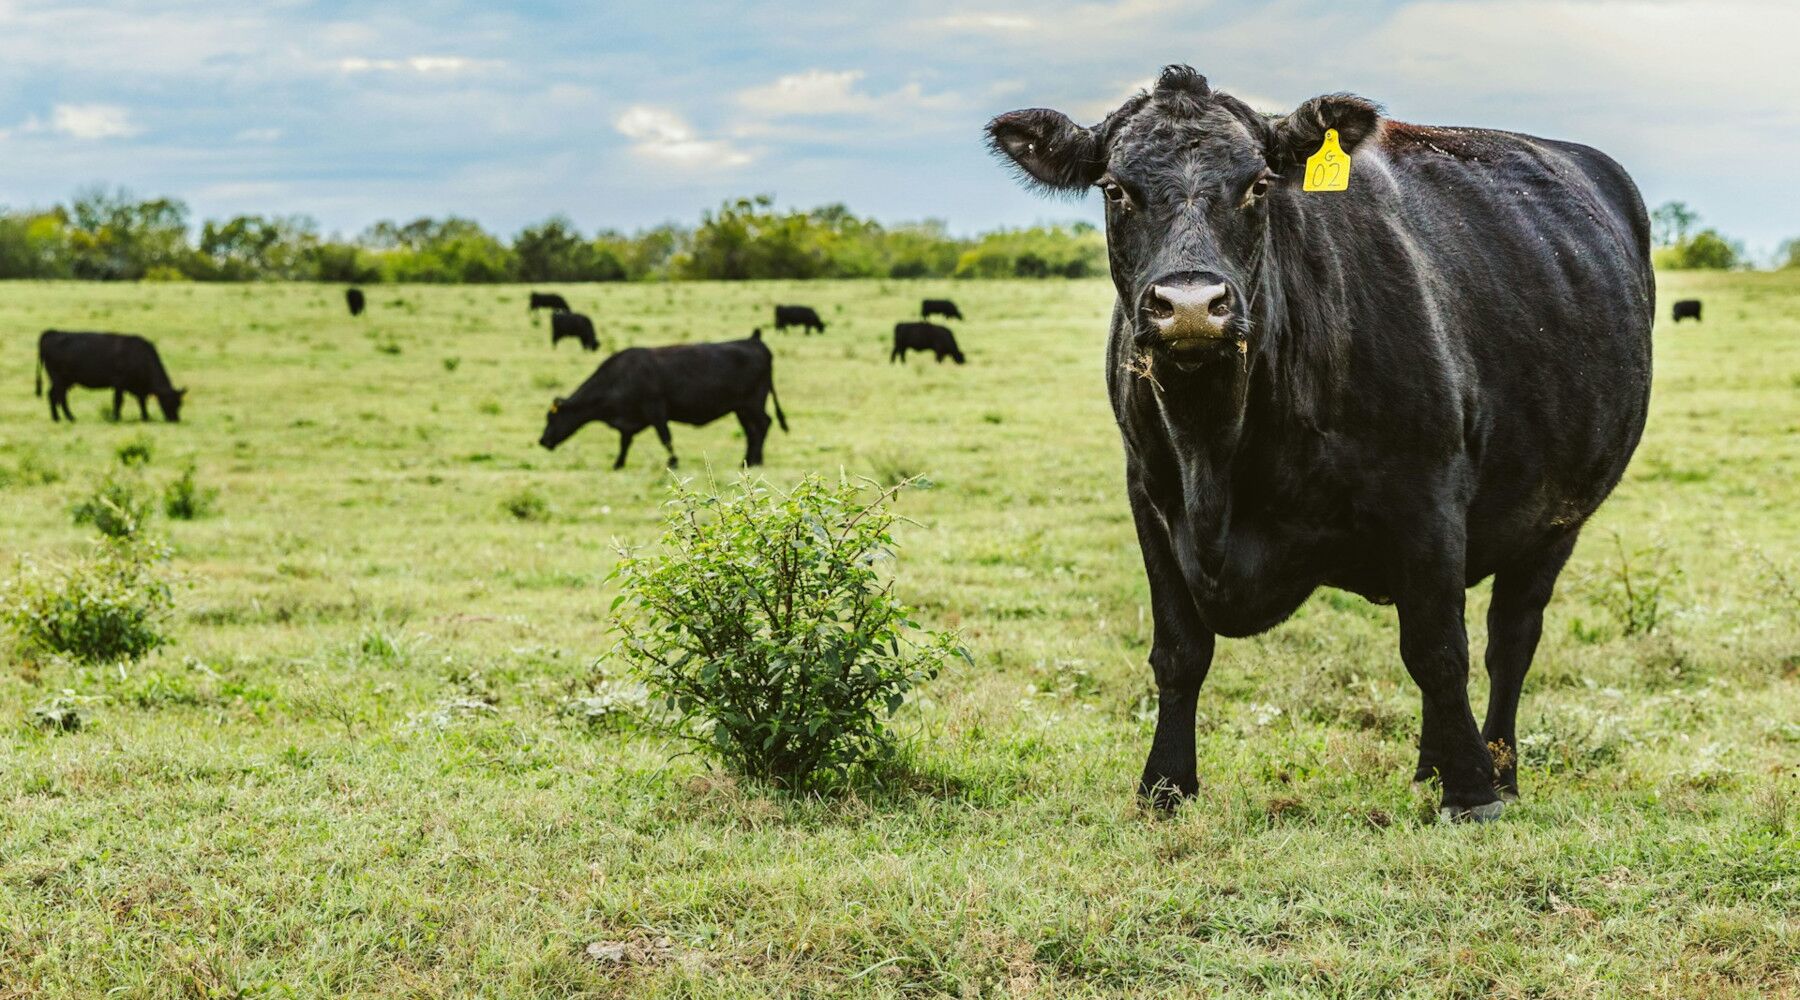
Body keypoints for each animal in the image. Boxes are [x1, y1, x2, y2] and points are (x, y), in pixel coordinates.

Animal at [38, 331, 189, 423]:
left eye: (180, 403)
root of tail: (52, 333)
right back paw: (64, 418)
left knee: (57, 396)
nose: (175, 420)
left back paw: (62, 417)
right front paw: (116, 418)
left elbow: (141, 402)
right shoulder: (119, 383)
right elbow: (118, 401)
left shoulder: (138, 387)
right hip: (59, 378)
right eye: (170, 402)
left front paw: (145, 417)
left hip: (65, 380)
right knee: (56, 396)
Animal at [539, 330, 788, 469]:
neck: (621, 376)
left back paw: (755, 460)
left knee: (763, 425)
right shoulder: (630, 421)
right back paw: (750, 460)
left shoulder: (656, 410)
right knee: (752, 431)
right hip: (741, 409)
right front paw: (618, 463)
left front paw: (674, 462)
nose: (542, 440)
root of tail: (754, 341)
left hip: (752, 403)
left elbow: (665, 438)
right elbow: (624, 443)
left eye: (552, 419)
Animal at [988, 65, 1653, 822]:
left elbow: (1438, 649)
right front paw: (1165, 785)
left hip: (1557, 518)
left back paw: (1497, 769)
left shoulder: (1427, 495)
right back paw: (1431, 767)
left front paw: (1473, 791)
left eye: (1257, 185)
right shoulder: (1149, 495)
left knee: (1509, 639)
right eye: (1115, 189)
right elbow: (1179, 651)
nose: (1191, 306)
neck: (1214, 446)